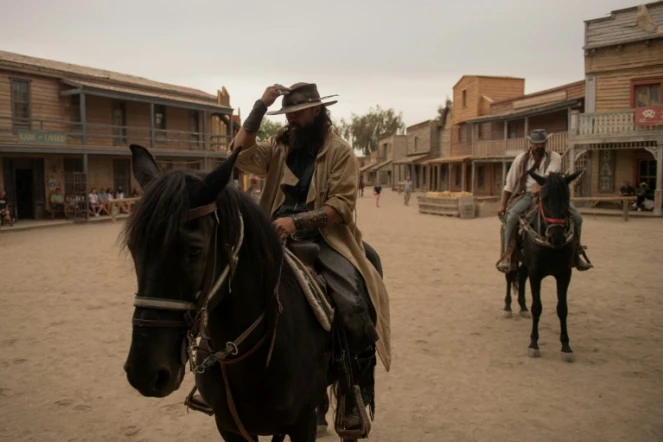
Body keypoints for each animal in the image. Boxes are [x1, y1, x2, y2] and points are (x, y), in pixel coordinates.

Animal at [508, 171, 580, 360]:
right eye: (544, 199)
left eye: (567, 198)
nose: (557, 237)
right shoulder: (536, 272)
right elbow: (537, 307)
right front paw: (533, 344)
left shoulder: (564, 273)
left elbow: (562, 308)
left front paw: (566, 346)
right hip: (511, 253)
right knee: (510, 275)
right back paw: (507, 307)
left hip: (525, 261)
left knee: (521, 276)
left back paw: (522, 307)